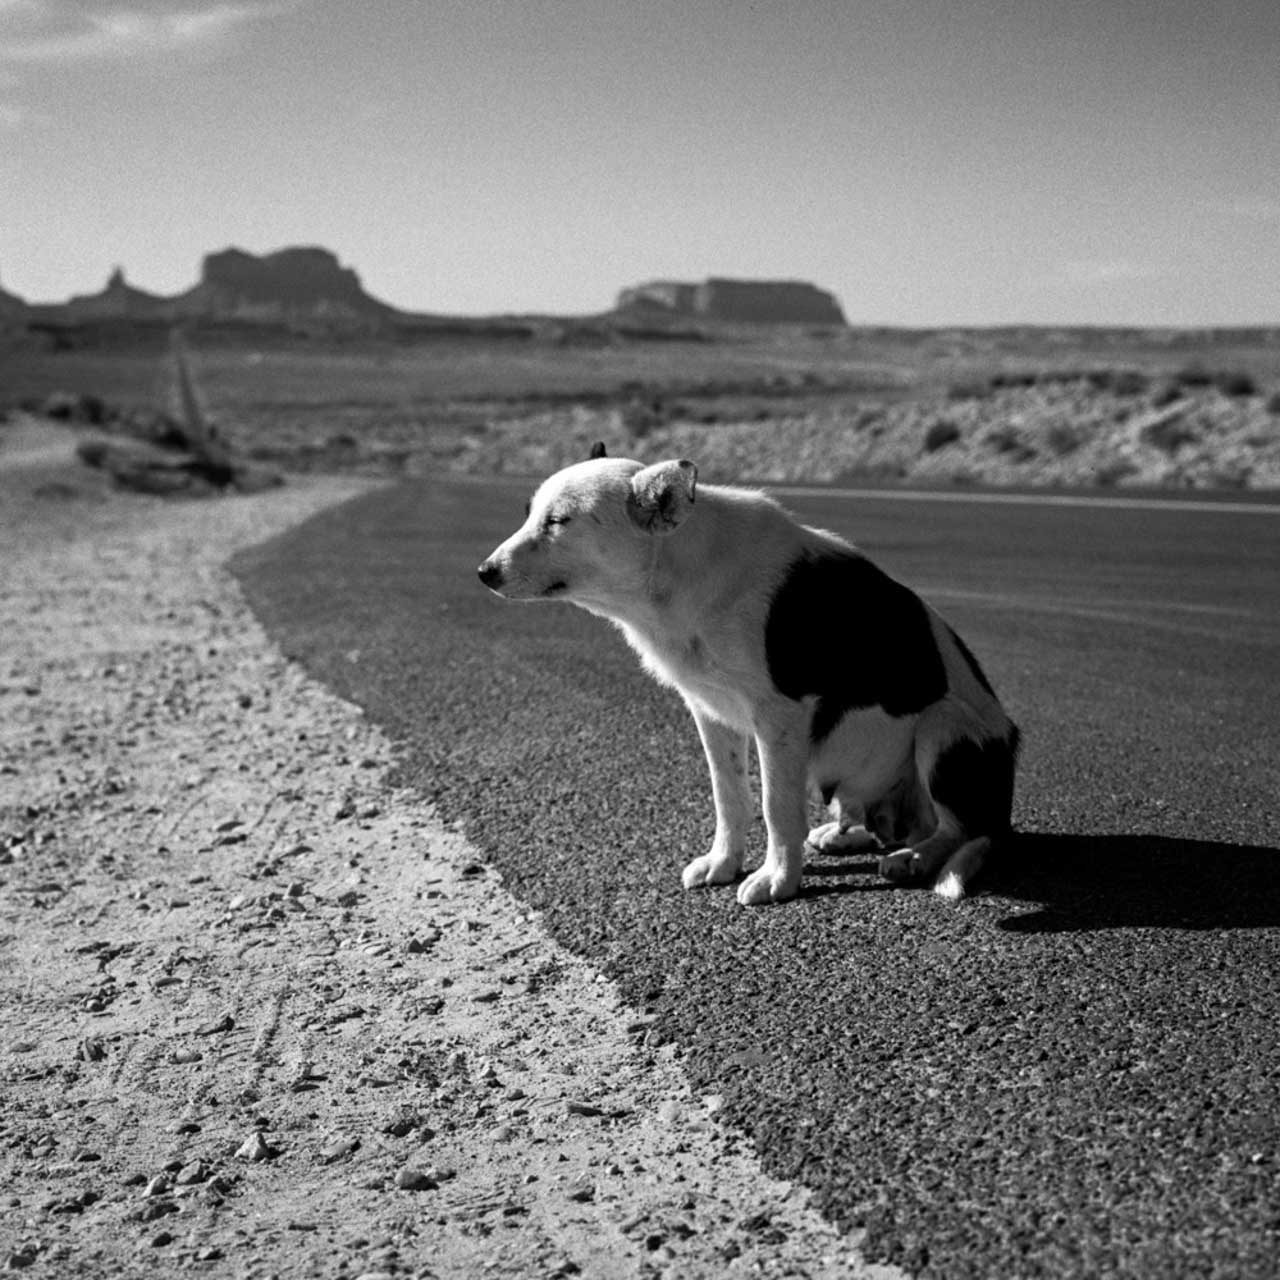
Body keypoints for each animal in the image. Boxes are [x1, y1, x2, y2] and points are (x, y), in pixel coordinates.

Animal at [481, 445, 1018, 906]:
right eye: (530, 513)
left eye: (558, 521)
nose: (485, 572)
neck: (677, 574)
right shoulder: (710, 711)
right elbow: (730, 796)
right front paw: (724, 863)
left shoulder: (779, 715)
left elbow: (775, 805)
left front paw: (777, 878)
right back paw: (849, 836)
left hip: (943, 727)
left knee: (955, 829)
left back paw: (915, 857)